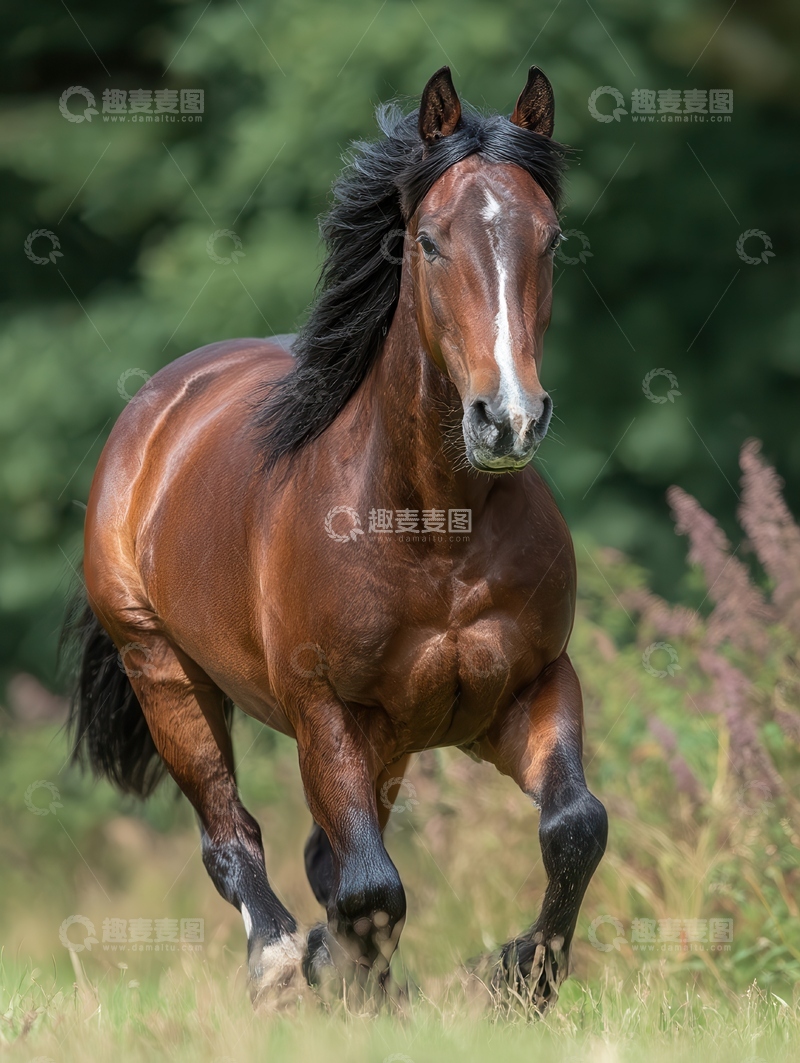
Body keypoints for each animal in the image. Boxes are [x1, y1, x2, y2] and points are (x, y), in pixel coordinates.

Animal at [65, 65, 607, 1012]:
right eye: (427, 241)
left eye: (550, 239)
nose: (507, 419)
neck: (431, 529)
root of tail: (157, 407)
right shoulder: (326, 713)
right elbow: (369, 886)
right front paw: (357, 987)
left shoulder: (530, 685)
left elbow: (575, 825)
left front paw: (523, 976)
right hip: (163, 671)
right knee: (235, 837)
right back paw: (283, 963)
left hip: (388, 745)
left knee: (326, 855)